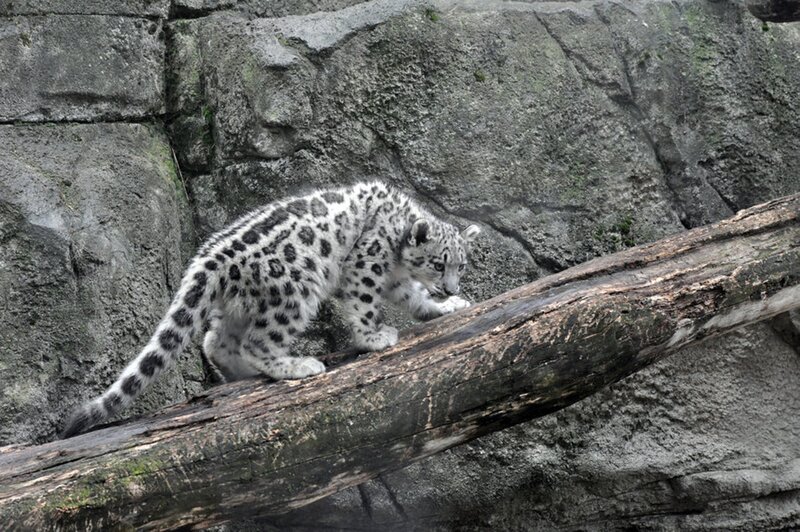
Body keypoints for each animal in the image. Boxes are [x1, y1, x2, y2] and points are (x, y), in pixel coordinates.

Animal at [62, 181, 480, 437]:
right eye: (439, 263)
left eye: (461, 265)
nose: (451, 286)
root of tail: (209, 256)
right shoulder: (367, 264)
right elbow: (364, 303)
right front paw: (374, 337)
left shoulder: (394, 278)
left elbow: (414, 297)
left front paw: (447, 306)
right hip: (295, 292)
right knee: (258, 340)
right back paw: (298, 366)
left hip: (239, 306)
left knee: (216, 341)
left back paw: (245, 373)